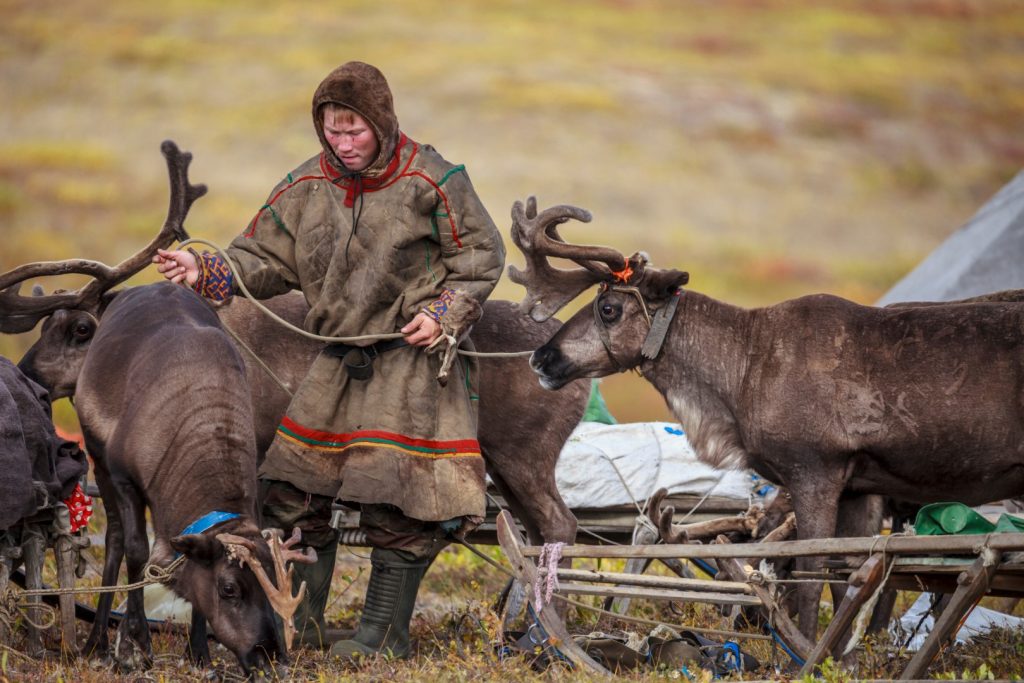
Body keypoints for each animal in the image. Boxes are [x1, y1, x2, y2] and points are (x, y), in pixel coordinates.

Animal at [507, 196, 1024, 646]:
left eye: (609, 309)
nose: (540, 358)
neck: (739, 375)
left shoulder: (815, 471)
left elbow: (811, 573)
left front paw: (802, 652)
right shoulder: (860, 486)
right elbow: (848, 578)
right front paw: (841, 655)